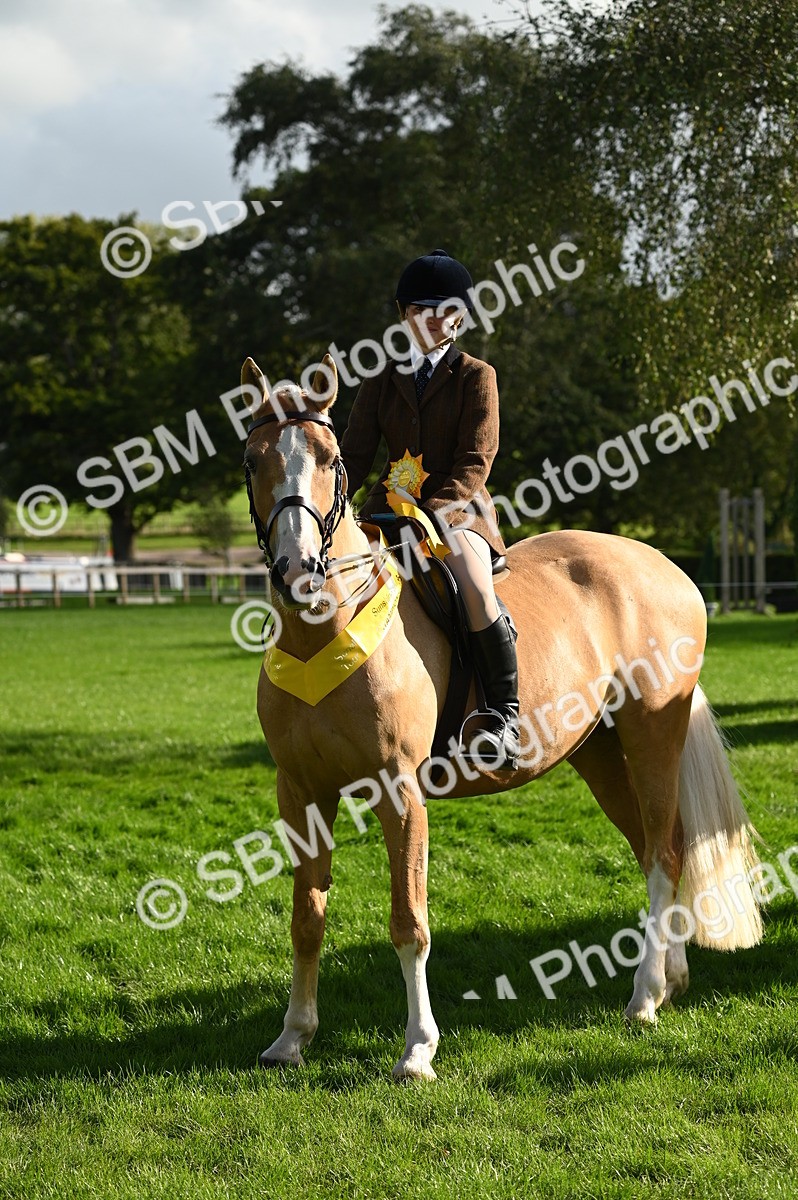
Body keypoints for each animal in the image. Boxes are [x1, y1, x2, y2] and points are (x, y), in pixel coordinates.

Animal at [241, 353, 762, 1081]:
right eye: (253, 459)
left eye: (329, 458)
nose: (298, 571)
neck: (325, 628)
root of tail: (663, 565)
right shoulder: (300, 792)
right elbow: (306, 918)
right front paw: (293, 1037)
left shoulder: (399, 791)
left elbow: (409, 921)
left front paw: (418, 1050)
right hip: (600, 752)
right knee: (661, 845)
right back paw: (672, 977)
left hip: (652, 730)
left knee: (662, 852)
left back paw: (644, 998)